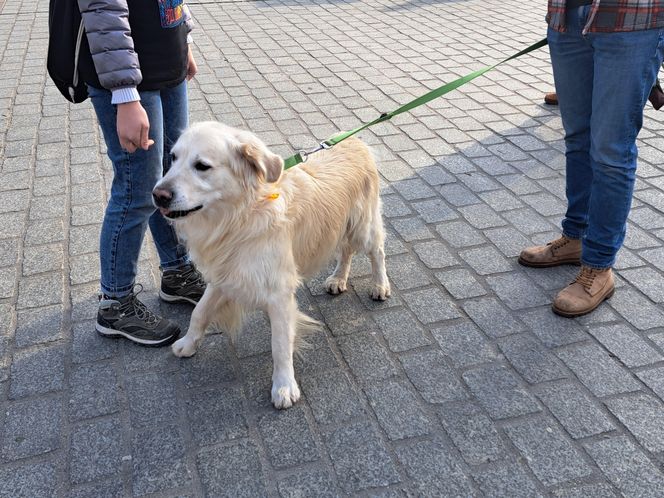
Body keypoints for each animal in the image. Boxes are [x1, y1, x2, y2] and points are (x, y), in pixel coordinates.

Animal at [153, 121, 392, 408]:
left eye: (202, 165)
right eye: (173, 158)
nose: (158, 195)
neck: (240, 218)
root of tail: (355, 140)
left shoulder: (278, 293)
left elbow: (279, 344)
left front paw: (284, 386)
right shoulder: (225, 275)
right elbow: (199, 311)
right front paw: (188, 343)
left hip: (363, 226)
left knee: (377, 251)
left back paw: (380, 285)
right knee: (345, 251)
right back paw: (338, 279)